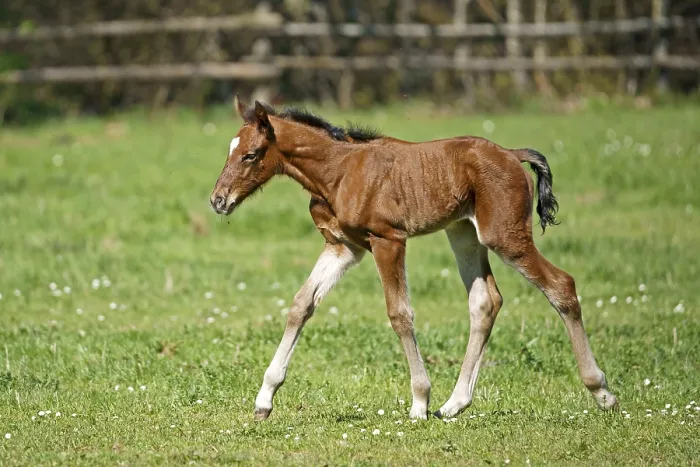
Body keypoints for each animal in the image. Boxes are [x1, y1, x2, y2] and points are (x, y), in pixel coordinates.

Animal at [209, 96, 618, 421]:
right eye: (228, 152)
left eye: (250, 155)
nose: (218, 200)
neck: (339, 171)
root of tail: (511, 154)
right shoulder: (343, 247)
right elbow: (301, 305)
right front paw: (264, 399)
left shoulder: (388, 241)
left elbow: (400, 314)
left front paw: (420, 401)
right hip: (464, 233)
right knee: (486, 301)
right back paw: (454, 404)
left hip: (504, 236)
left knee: (561, 285)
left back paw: (601, 392)